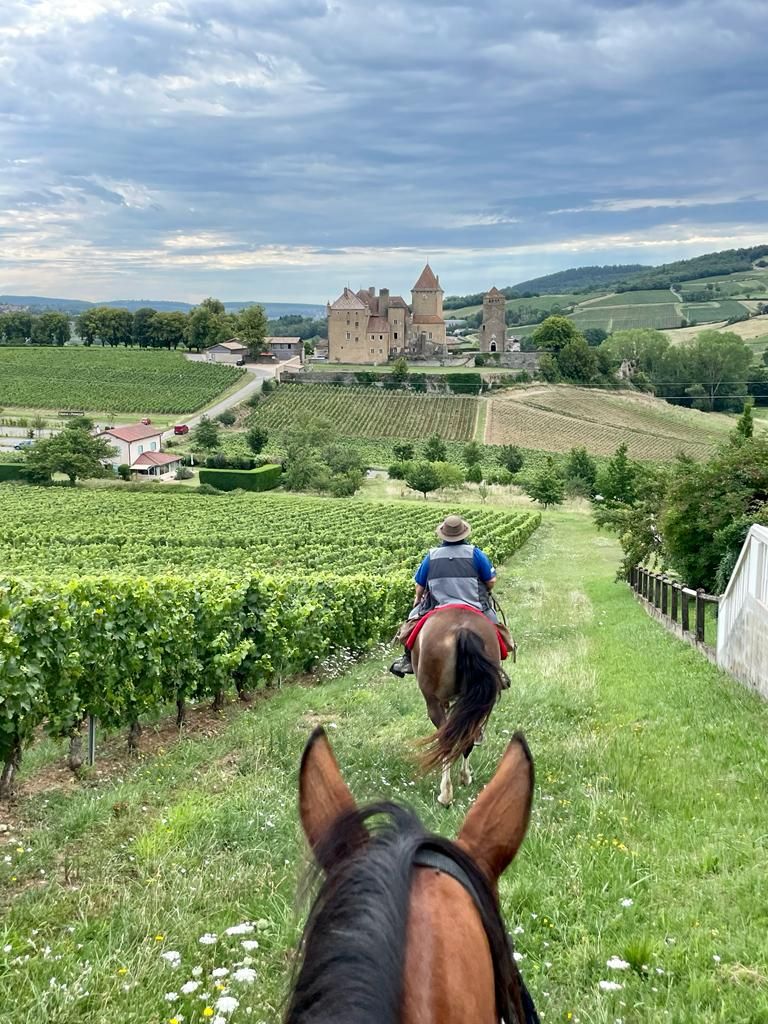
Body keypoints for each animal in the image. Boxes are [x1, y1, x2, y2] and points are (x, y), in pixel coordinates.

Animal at [415, 606, 505, 806]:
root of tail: (463, 630)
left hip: (432, 700)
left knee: (446, 739)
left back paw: (445, 793)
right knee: (467, 735)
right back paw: (465, 777)